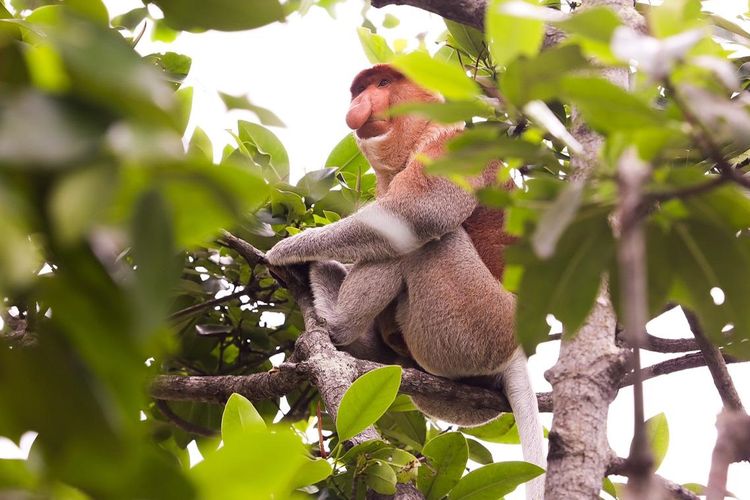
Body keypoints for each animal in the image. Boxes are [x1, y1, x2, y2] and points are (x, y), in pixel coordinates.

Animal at [266, 65, 548, 496]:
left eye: (384, 84)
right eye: (361, 88)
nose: (361, 103)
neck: (418, 136)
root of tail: (516, 352)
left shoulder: (451, 146)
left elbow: (416, 212)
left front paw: (287, 249)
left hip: (476, 323)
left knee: (428, 238)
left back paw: (334, 319)